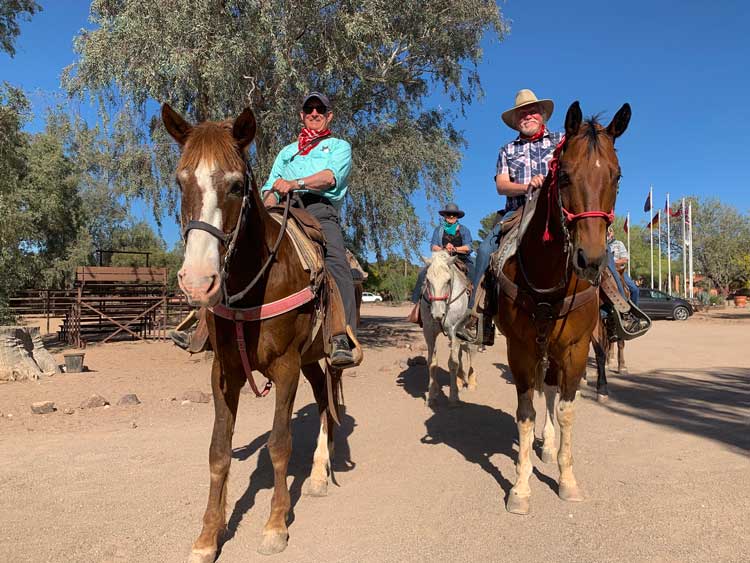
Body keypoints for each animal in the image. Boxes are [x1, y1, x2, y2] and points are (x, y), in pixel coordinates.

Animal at [163, 104, 346, 560]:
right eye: (180, 180)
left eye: (236, 184)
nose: (198, 282)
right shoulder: (224, 372)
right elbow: (218, 451)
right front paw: (208, 536)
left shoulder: (285, 368)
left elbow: (280, 444)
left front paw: (275, 524)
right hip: (309, 361)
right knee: (322, 398)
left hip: (319, 357)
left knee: (327, 403)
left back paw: (320, 474)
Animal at [424, 251, 476, 406]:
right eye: (427, 280)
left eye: (448, 281)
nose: (437, 314)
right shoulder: (429, 332)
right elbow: (432, 362)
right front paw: (431, 396)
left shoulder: (454, 330)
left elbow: (453, 363)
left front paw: (453, 398)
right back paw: (459, 381)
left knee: (470, 351)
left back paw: (471, 382)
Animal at [496, 100, 632, 516]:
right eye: (566, 175)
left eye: (617, 176)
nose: (591, 259)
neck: (548, 278)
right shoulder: (520, 349)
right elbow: (525, 413)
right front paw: (521, 488)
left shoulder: (574, 348)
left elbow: (566, 409)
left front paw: (567, 480)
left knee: (553, 390)